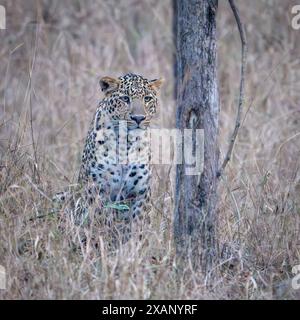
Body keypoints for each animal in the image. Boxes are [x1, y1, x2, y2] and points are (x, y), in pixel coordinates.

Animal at [53, 73, 162, 228]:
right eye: (125, 98)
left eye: (147, 98)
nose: (139, 118)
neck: (126, 143)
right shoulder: (97, 190)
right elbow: (101, 220)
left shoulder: (141, 193)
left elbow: (137, 226)